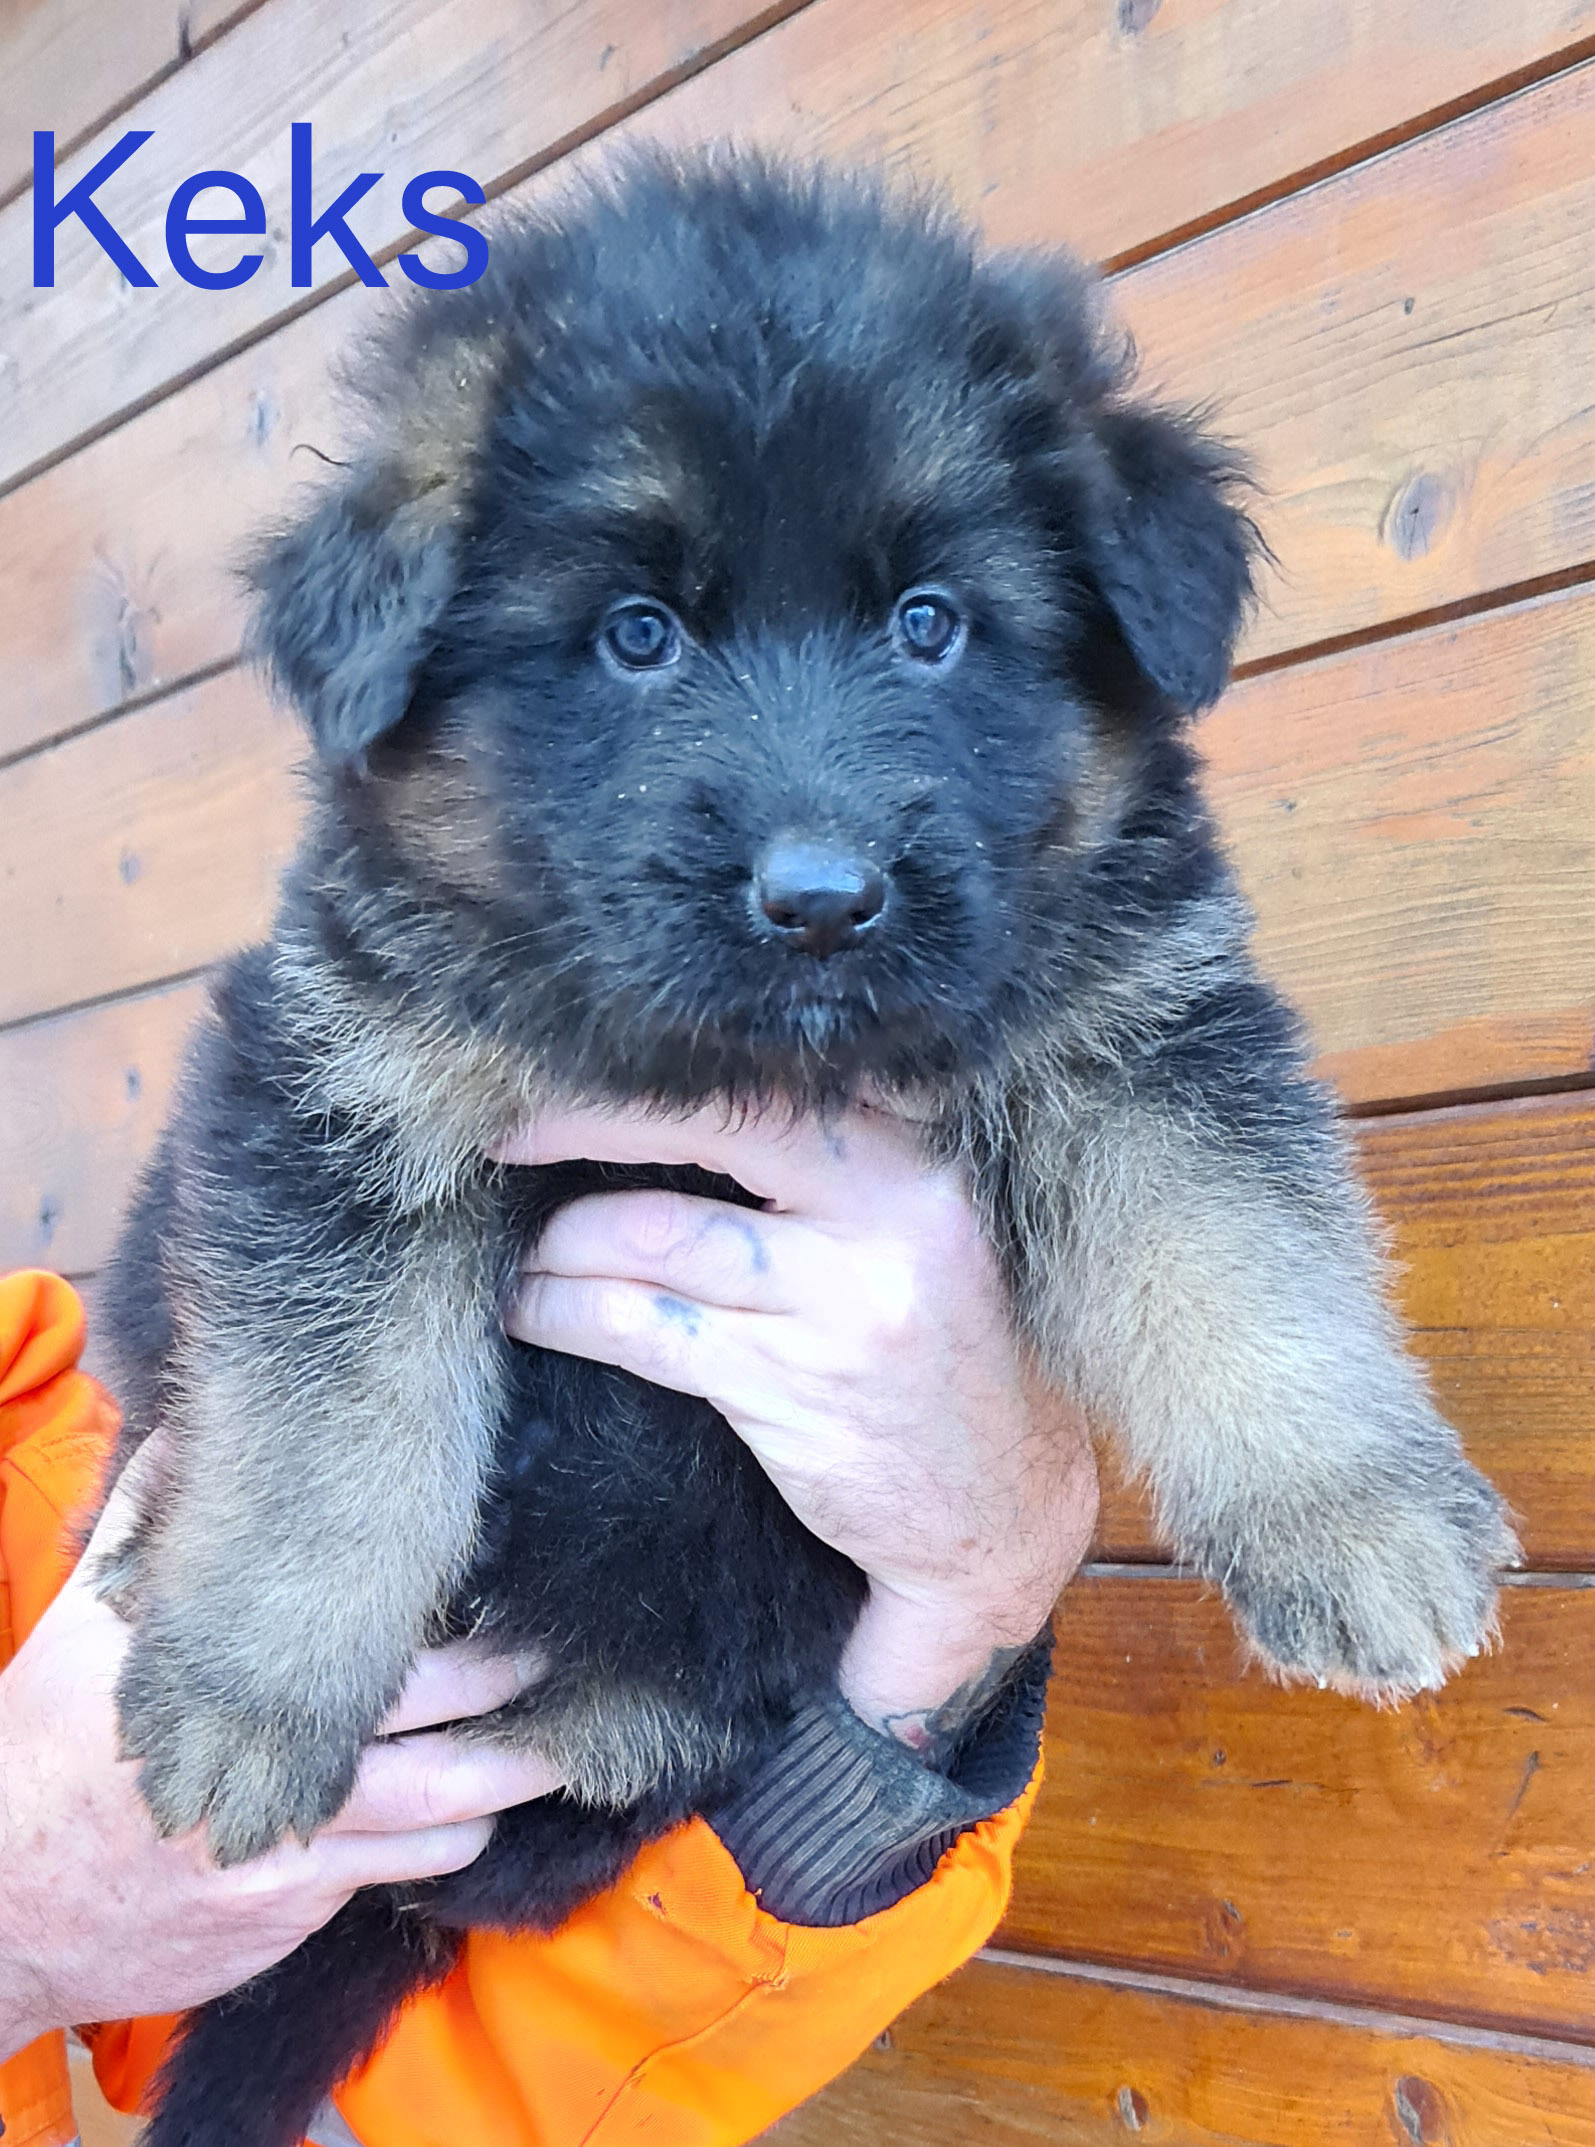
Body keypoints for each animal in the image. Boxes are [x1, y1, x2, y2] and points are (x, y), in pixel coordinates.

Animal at [97, 151, 1515, 2147]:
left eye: (929, 620)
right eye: (637, 632)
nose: (823, 898)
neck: (741, 1073)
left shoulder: (1139, 1038)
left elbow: (1246, 1268)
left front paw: (1359, 1520)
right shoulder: (348, 1094)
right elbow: (328, 1434)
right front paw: (247, 1689)